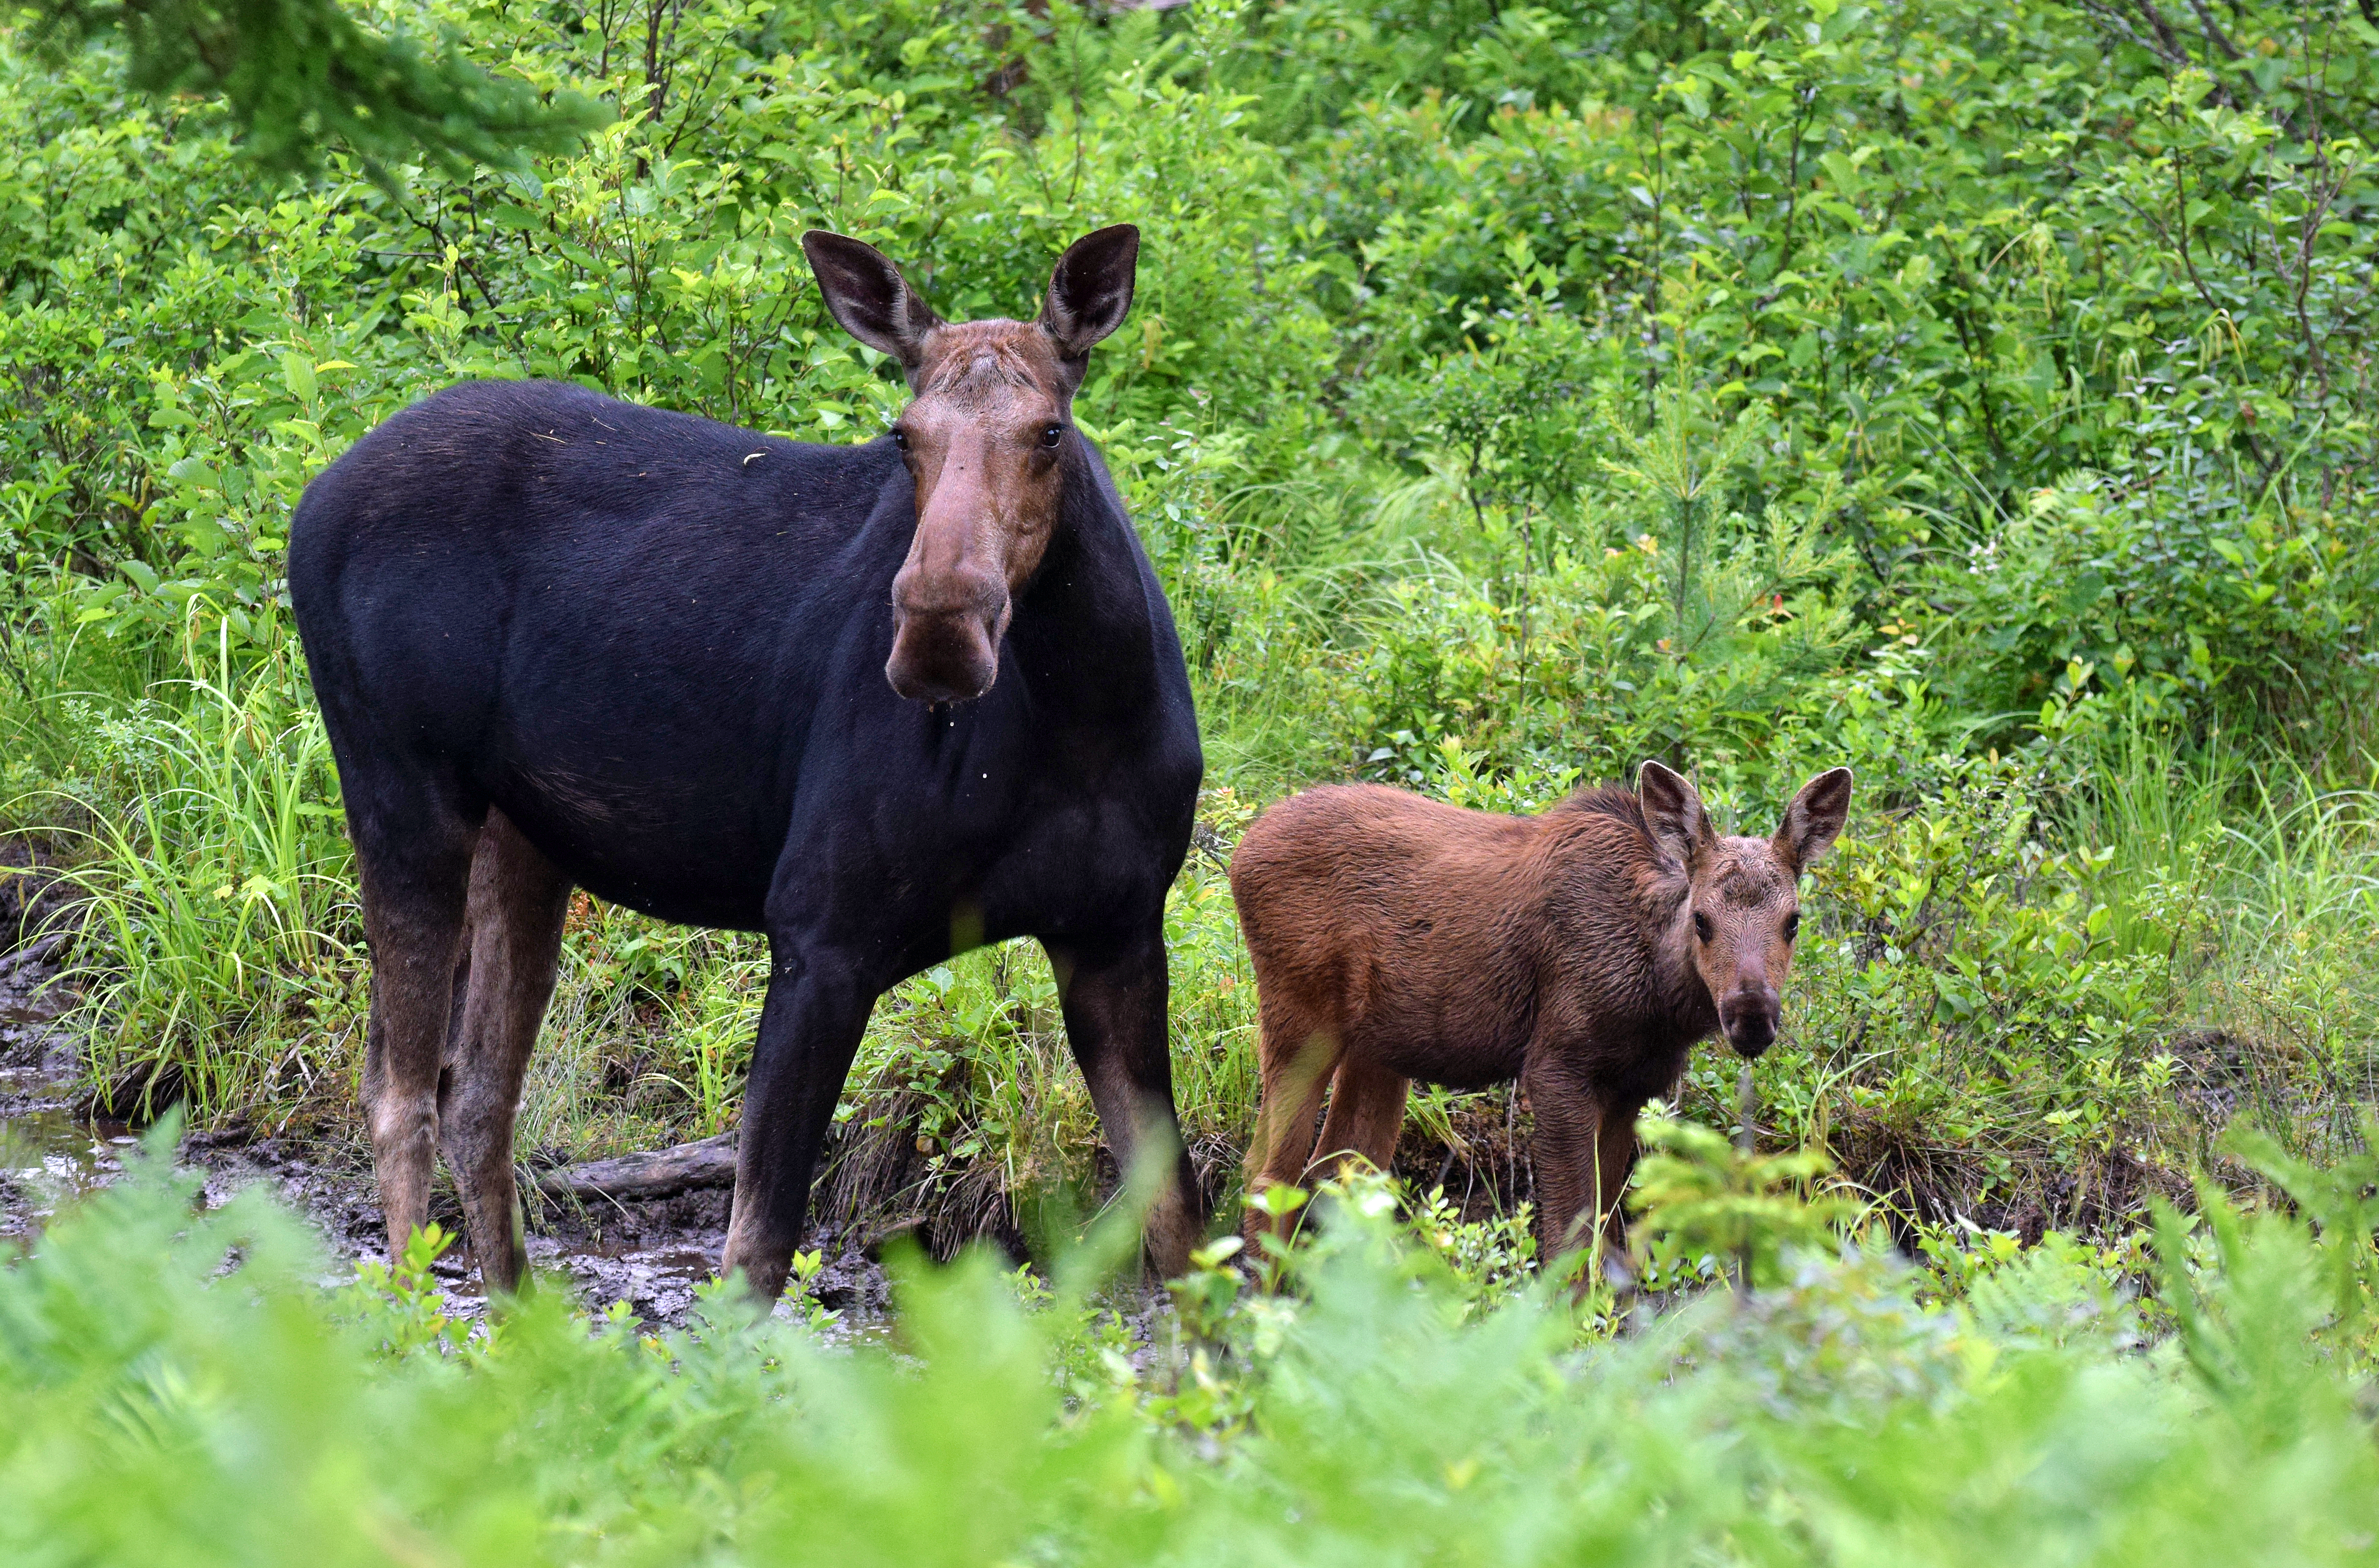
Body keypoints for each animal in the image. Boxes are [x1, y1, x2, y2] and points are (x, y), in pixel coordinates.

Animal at [292, 221, 1208, 1304]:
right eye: (903, 436)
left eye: (1050, 433)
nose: (937, 630)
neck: (1086, 714)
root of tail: (310, 499)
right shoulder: (820, 927)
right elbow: (754, 1251)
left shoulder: (1118, 928)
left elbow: (1181, 1224)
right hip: (399, 786)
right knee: (398, 1093)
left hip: (522, 832)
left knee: (476, 1091)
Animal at [1237, 766, 1846, 1285]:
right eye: (1702, 919)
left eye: (1793, 921)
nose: (1751, 1017)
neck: (1658, 999)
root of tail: (1242, 851)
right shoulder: (1556, 1066)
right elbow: (1567, 1244)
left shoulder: (1632, 1085)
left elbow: (1606, 1230)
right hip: (1300, 1017)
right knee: (1268, 1174)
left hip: (1379, 1048)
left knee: (1333, 1171)